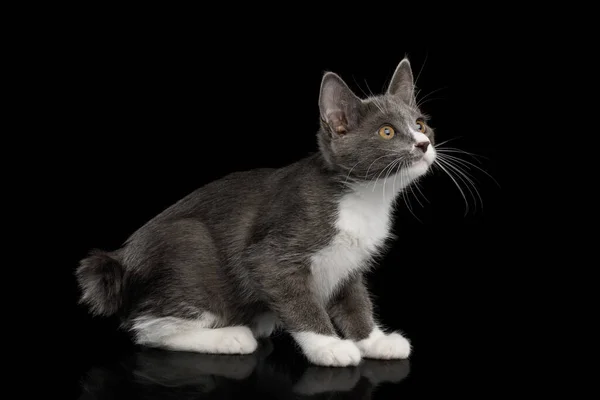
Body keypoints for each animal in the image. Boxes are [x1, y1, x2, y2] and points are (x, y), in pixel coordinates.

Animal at [77, 57, 438, 368]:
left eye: (420, 124)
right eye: (387, 132)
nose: (423, 144)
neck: (363, 198)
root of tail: (122, 259)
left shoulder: (349, 263)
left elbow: (355, 301)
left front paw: (374, 340)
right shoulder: (278, 247)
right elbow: (297, 299)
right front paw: (329, 346)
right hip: (189, 248)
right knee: (149, 328)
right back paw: (231, 337)